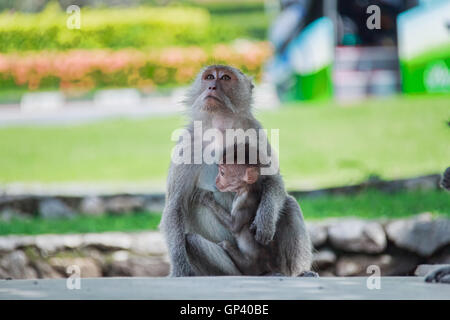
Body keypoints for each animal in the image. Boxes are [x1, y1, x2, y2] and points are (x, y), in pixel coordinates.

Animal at [161, 64, 312, 276]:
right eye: (209, 77)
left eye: (225, 78)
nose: (212, 87)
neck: (220, 129)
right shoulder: (187, 143)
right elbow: (175, 205)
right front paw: (179, 270)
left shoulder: (255, 130)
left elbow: (273, 180)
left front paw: (265, 219)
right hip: (238, 268)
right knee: (193, 242)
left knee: (289, 203)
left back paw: (298, 271)